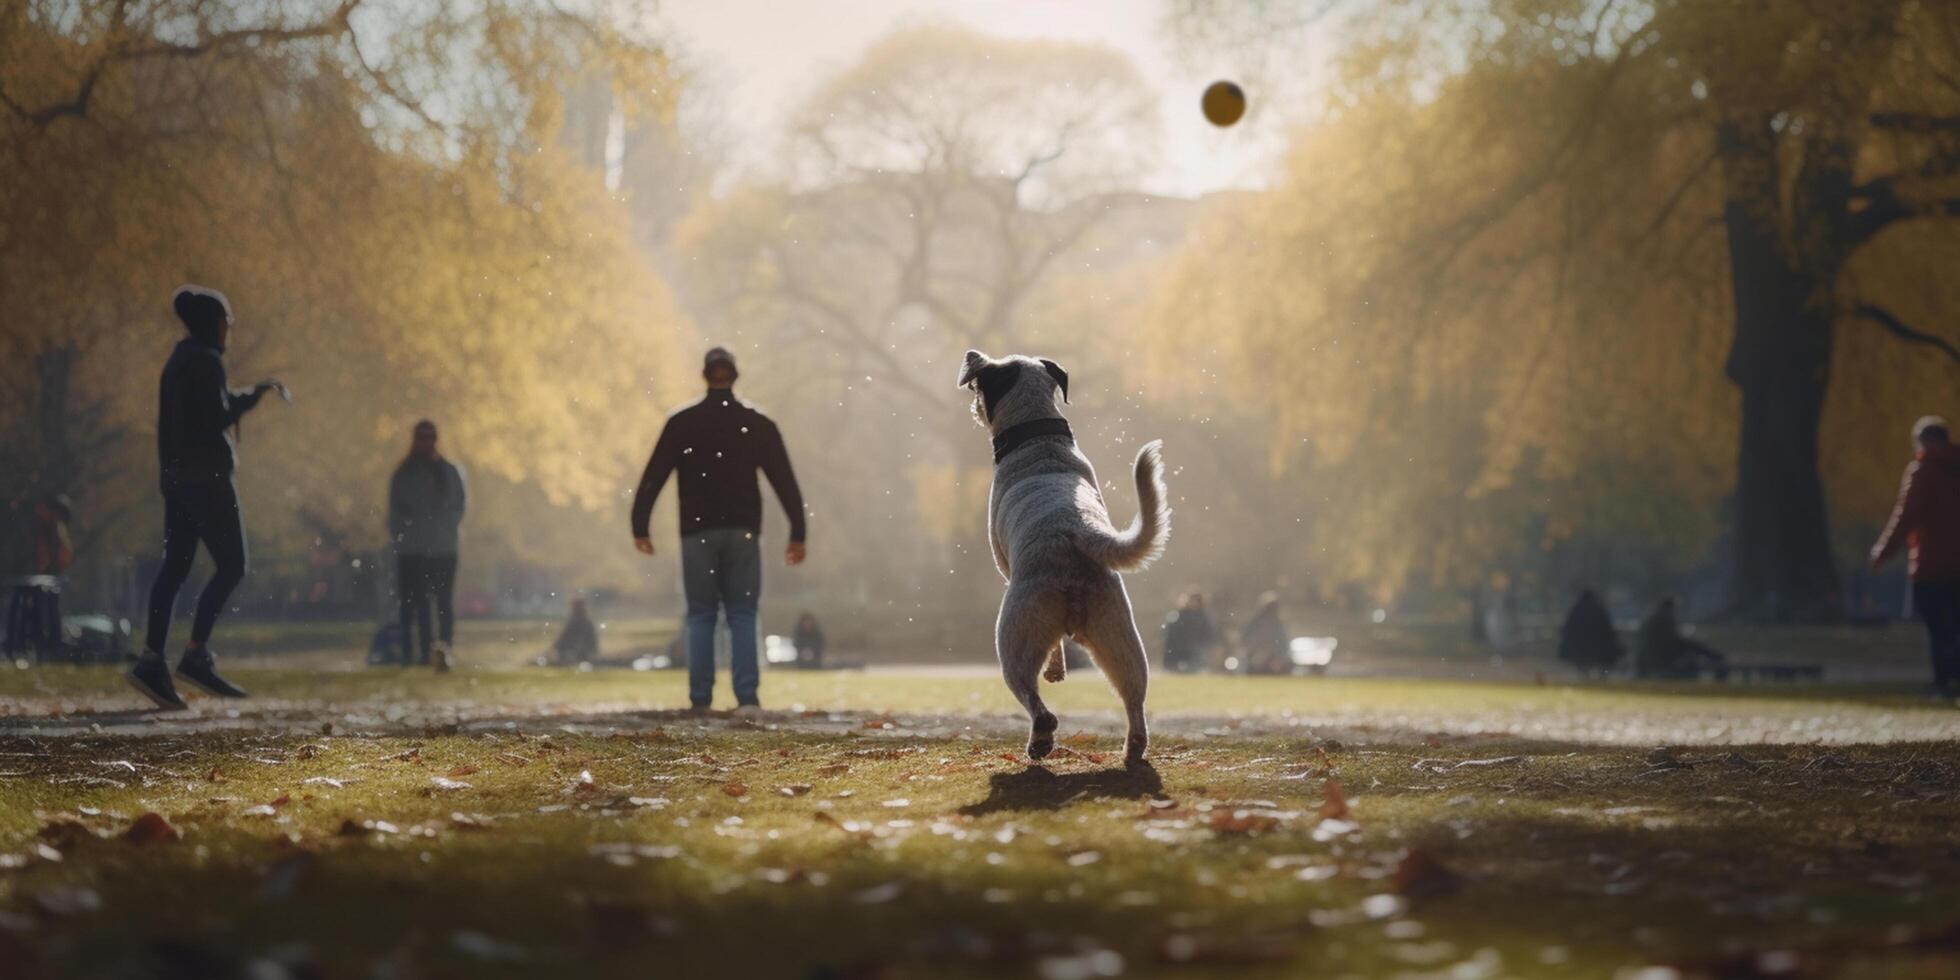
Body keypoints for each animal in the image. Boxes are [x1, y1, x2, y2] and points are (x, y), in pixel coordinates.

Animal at [956, 350, 1168, 764]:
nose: (972, 355)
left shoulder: (1004, 566)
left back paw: (1039, 741)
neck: (1038, 437)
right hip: (1120, 638)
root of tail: (1075, 530)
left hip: (1013, 636)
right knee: (1134, 699)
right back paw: (1132, 749)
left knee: (1036, 702)